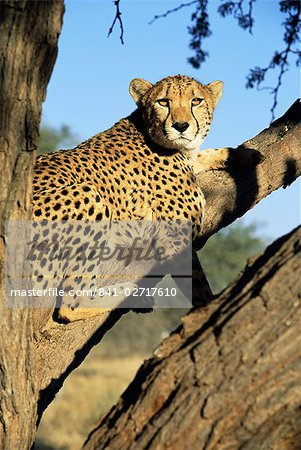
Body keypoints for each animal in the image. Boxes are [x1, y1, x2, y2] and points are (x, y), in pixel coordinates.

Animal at [29, 76, 258, 324]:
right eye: (163, 102)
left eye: (196, 101)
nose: (181, 126)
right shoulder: (176, 239)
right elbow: (198, 286)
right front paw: (209, 311)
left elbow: (202, 155)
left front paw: (243, 154)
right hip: (88, 194)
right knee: (71, 304)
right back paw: (132, 292)